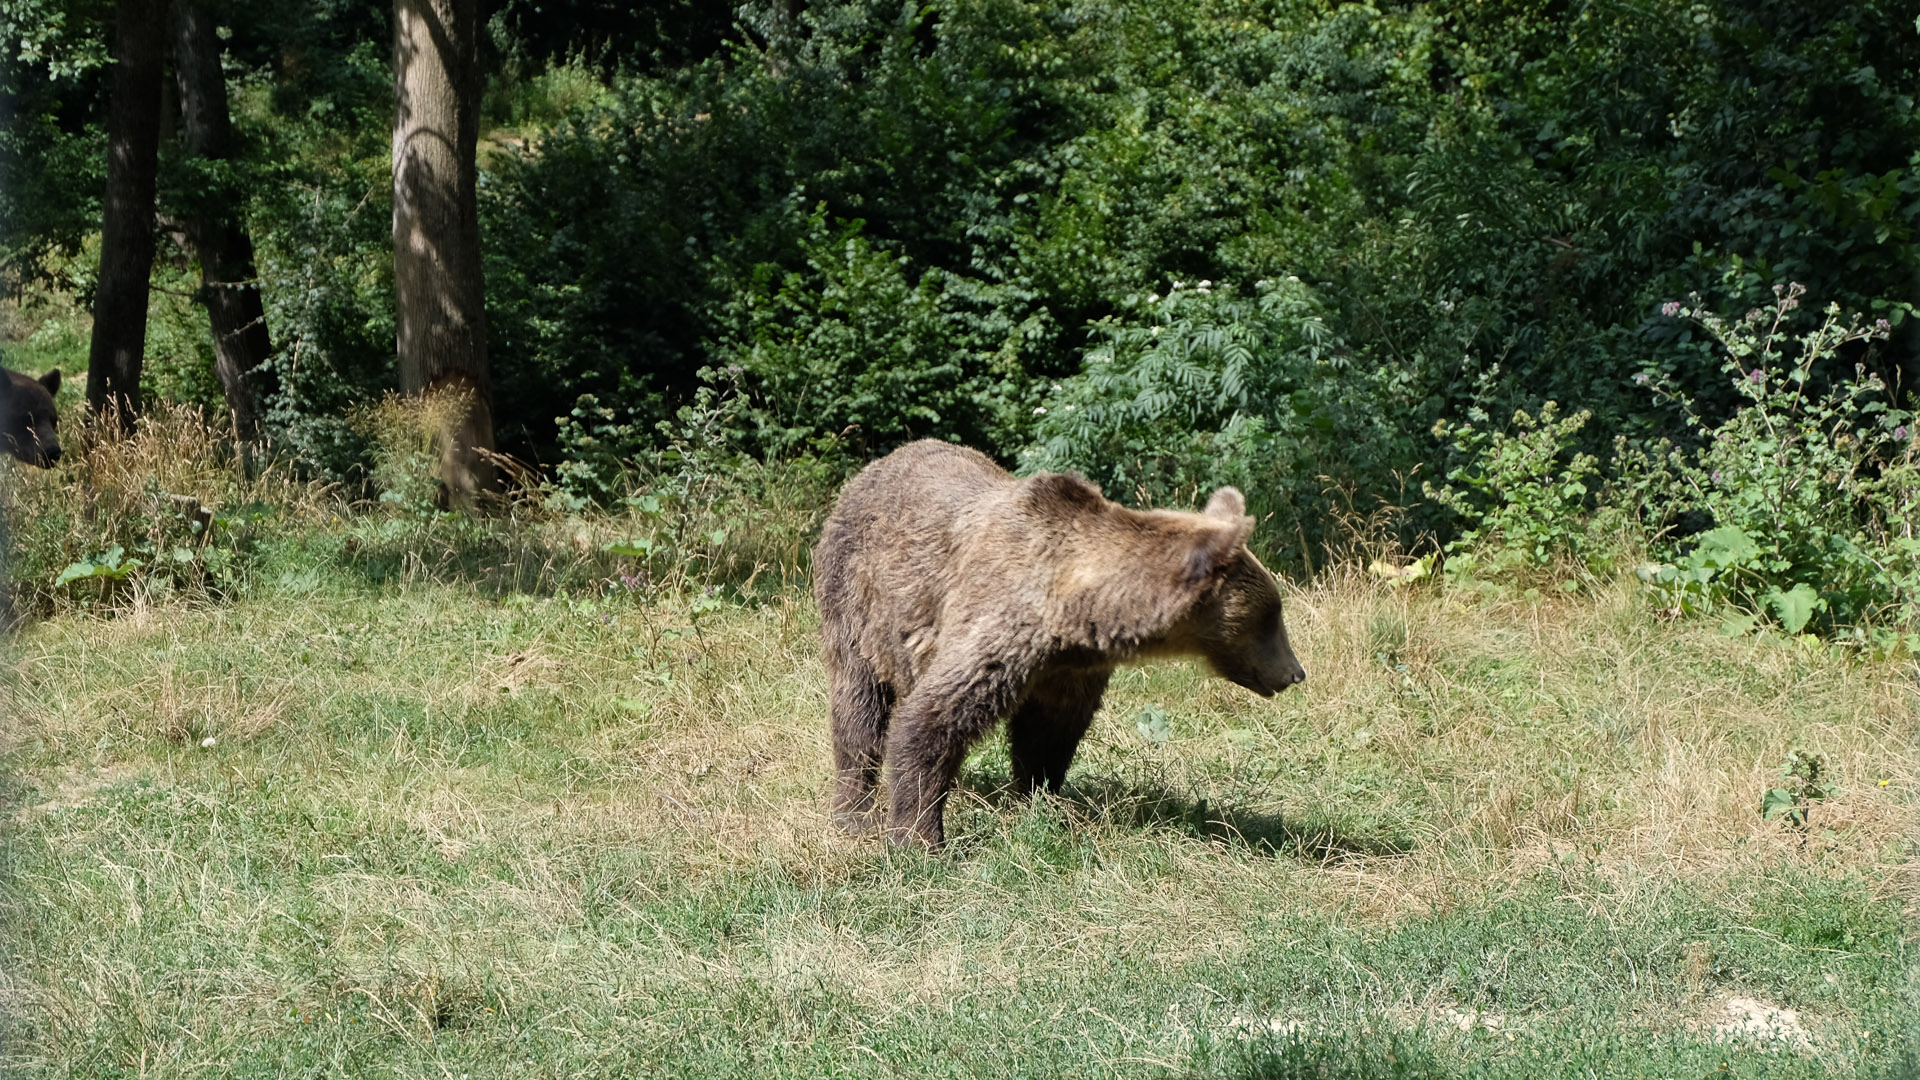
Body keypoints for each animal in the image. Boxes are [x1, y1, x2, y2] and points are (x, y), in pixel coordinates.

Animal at [810, 434, 1305, 841]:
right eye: (1271, 614)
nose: (1294, 672)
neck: (1074, 611)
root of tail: (875, 466)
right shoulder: (999, 623)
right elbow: (931, 720)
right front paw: (919, 836)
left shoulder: (1068, 668)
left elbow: (1049, 733)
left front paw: (1040, 800)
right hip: (855, 602)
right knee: (858, 709)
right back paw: (854, 812)